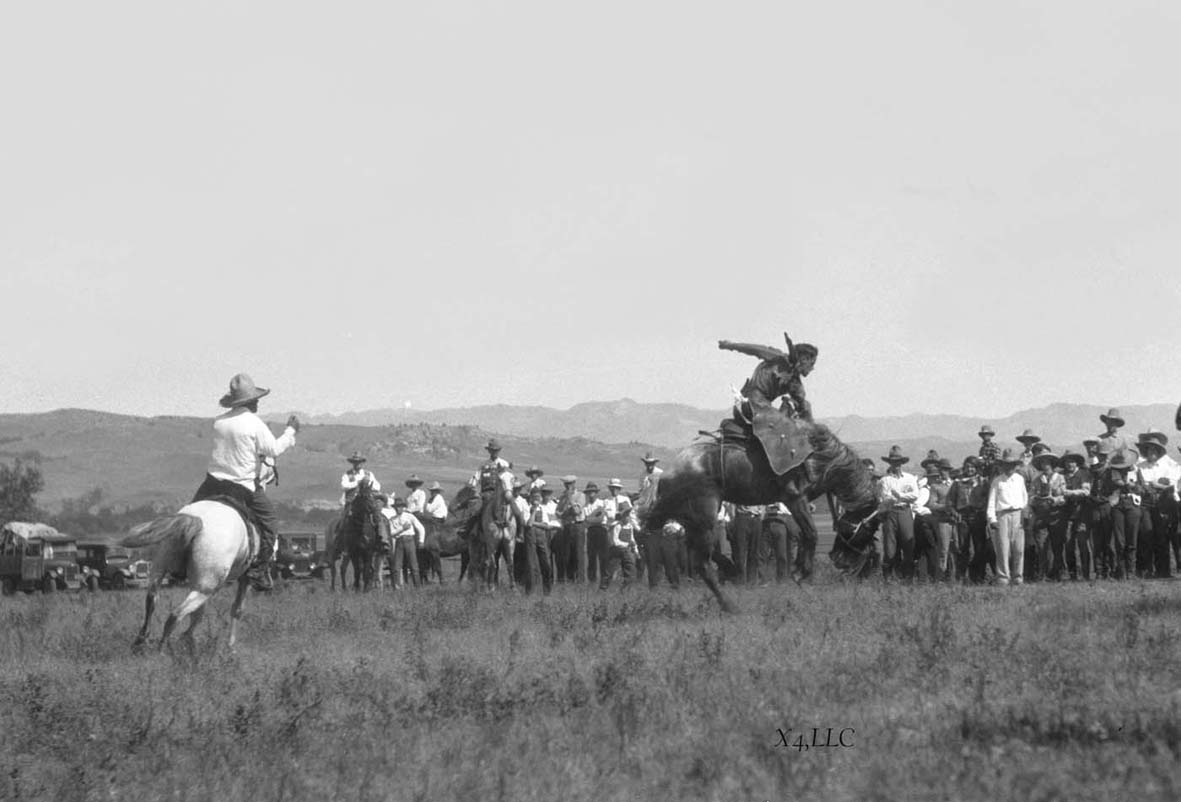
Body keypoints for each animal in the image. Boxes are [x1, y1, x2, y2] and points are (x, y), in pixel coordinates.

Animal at [123, 500, 259, 651]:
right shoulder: (245, 579)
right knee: (176, 614)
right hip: (206, 588)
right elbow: (237, 609)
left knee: (152, 599)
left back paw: (141, 641)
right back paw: (162, 649)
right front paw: (230, 646)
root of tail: (196, 519)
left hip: (161, 567)